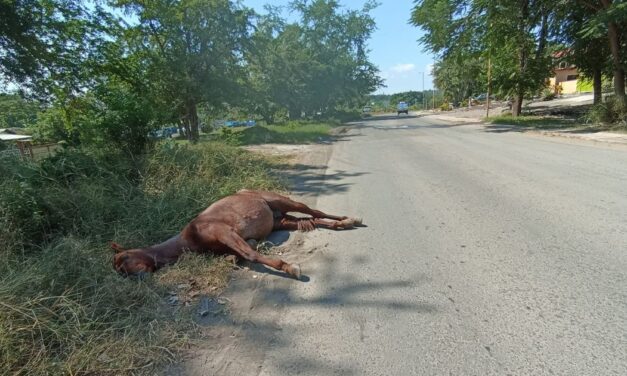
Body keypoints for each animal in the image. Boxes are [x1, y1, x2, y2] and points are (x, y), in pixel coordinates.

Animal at [110, 189, 360, 278]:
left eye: (125, 258)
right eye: (120, 270)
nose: (139, 278)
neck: (191, 238)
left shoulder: (225, 233)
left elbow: (251, 254)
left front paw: (290, 268)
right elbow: (238, 255)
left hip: (282, 201)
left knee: (314, 211)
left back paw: (351, 219)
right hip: (281, 222)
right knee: (312, 220)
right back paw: (343, 224)